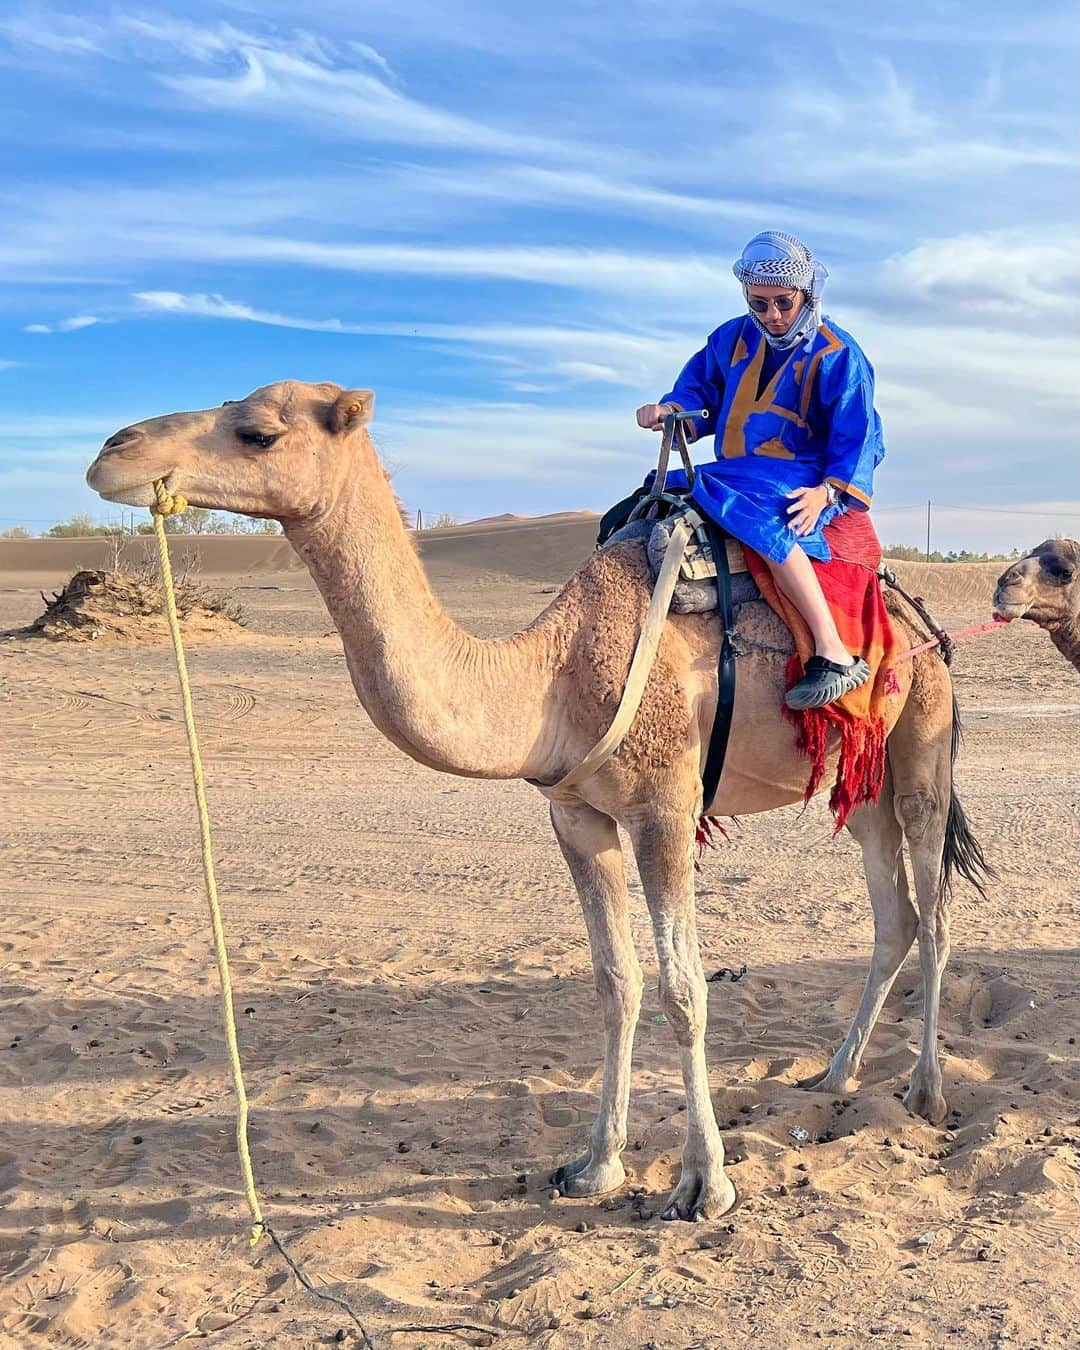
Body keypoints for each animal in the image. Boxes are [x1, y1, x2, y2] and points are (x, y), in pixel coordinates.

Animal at [88, 380, 993, 1225]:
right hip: (860, 779)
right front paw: (596, 1164)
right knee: (895, 915)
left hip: (921, 745)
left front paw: (704, 1183)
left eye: (259, 431)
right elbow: (615, 980)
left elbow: (684, 989)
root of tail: (917, 613)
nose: (111, 449)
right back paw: (836, 1071)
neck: (551, 674)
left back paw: (926, 1092)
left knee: (937, 914)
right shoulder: (578, 817)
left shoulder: (664, 810)